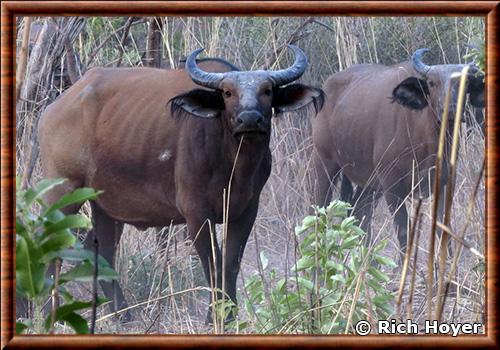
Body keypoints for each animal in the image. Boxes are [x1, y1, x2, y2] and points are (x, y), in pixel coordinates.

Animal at [36, 45, 324, 322]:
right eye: (227, 93)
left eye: (267, 90)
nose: (250, 118)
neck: (235, 163)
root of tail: (54, 109)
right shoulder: (196, 214)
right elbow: (212, 263)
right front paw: (215, 316)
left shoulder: (246, 211)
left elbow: (231, 263)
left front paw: (229, 314)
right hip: (63, 191)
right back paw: (50, 310)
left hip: (106, 207)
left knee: (101, 250)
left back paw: (123, 314)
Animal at [312, 48, 484, 252]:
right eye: (432, 83)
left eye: (464, 82)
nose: (449, 109)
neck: (426, 142)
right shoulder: (393, 187)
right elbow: (404, 233)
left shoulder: (443, 182)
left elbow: (443, 230)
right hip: (325, 164)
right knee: (321, 211)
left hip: (369, 183)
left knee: (359, 213)